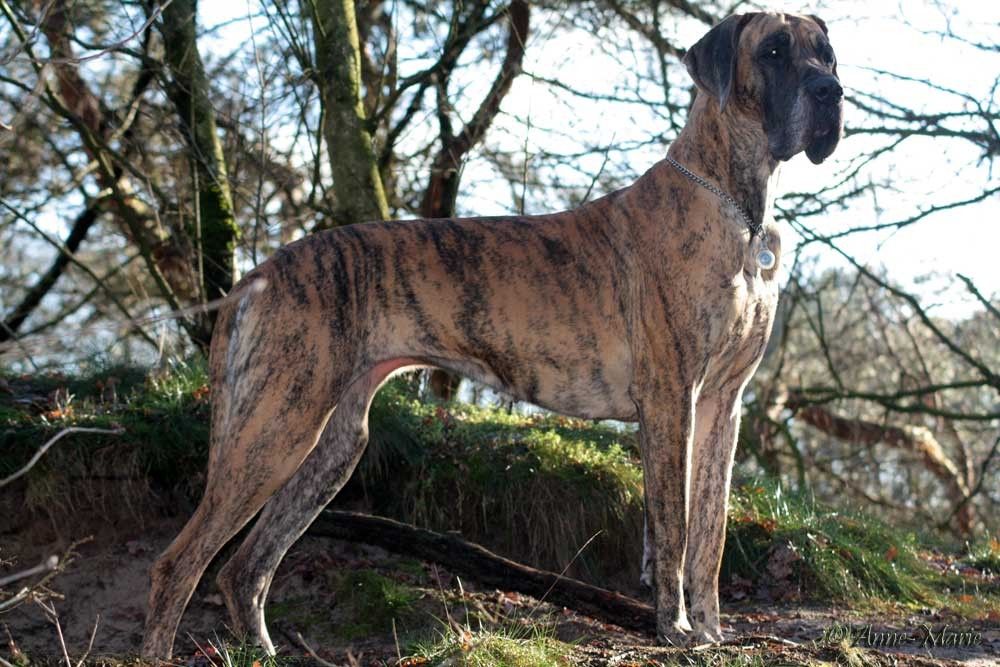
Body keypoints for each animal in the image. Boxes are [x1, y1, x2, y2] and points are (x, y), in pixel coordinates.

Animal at [141, 11, 842, 657]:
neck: (738, 208)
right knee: (179, 563)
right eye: (774, 52)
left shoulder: (724, 405)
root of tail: (259, 273)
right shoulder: (673, 401)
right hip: (278, 426)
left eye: (827, 54)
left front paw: (712, 634)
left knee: (245, 567)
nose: (831, 92)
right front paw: (674, 632)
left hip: (330, 446)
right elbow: (672, 530)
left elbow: (710, 534)